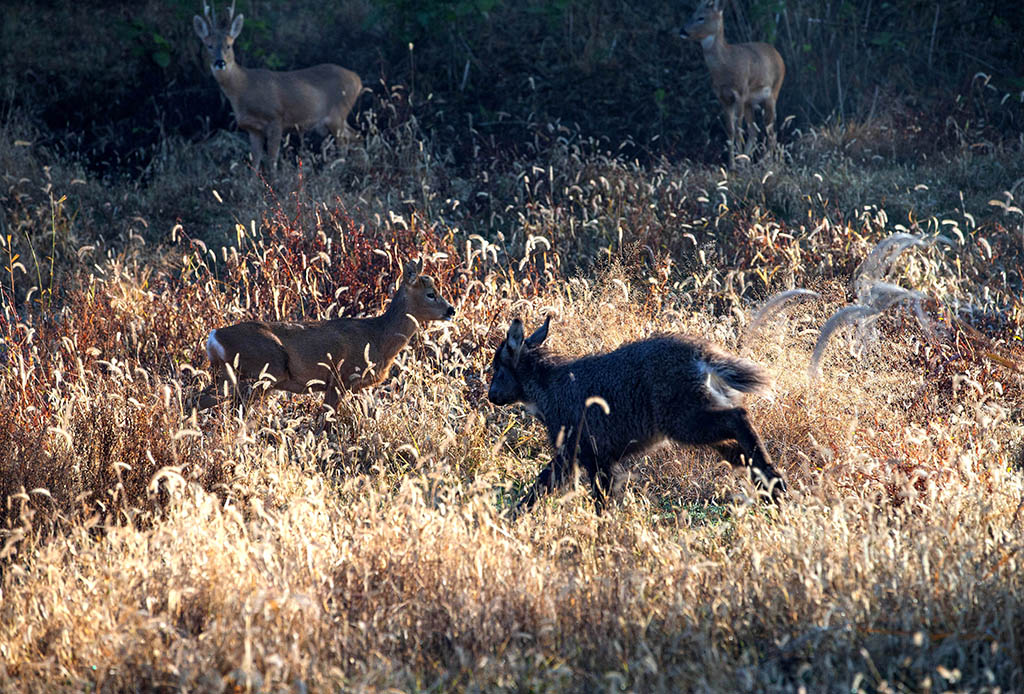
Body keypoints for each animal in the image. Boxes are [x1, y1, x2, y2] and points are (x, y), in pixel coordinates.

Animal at [192, 1, 364, 175]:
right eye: (209, 46)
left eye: (229, 45)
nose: (220, 62)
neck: (244, 88)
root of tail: (358, 79)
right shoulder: (252, 129)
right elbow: (255, 163)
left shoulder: (276, 118)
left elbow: (272, 161)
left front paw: (274, 180)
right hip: (338, 118)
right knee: (357, 136)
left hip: (337, 114)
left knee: (343, 145)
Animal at [194, 259, 456, 413]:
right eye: (431, 293)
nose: (451, 310)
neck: (378, 337)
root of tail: (214, 337)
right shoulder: (339, 379)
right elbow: (324, 425)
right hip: (263, 372)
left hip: (231, 376)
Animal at [487, 317, 782, 519]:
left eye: (496, 367)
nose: (491, 396)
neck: (549, 387)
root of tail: (703, 355)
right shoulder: (586, 457)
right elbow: (541, 487)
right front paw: (509, 518)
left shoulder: (586, 454)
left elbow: (594, 501)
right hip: (702, 422)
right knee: (739, 450)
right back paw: (771, 489)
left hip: (685, 422)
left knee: (739, 417)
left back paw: (774, 481)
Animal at [684, 0, 786, 167]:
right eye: (692, 14)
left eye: (701, 17)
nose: (683, 31)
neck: (726, 64)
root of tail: (779, 55)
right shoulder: (723, 98)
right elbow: (731, 130)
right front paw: (732, 164)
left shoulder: (740, 93)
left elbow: (738, 130)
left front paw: (737, 162)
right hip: (750, 103)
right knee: (755, 130)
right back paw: (747, 160)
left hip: (772, 94)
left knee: (770, 130)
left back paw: (767, 162)